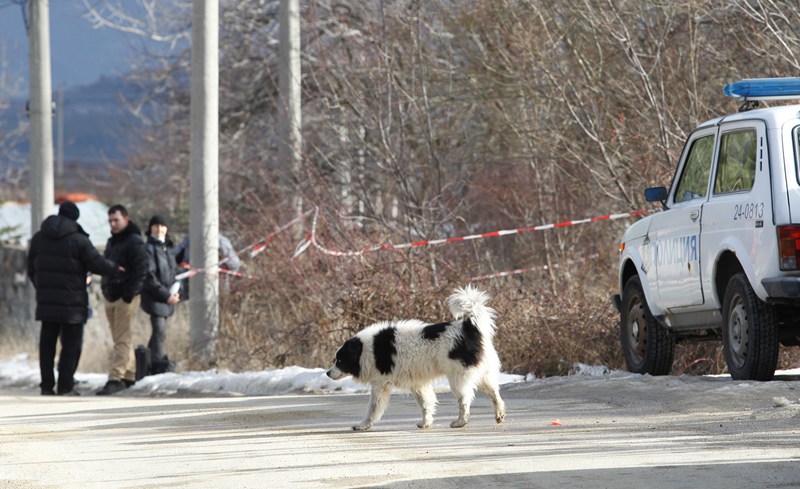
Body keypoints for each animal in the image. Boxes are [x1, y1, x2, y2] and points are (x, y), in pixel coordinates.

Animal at [326, 284, 506, 428]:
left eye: (339, 360)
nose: (327, 373)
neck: (365, 349)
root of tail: (468, 327)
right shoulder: (418, 383)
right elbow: (425, 404)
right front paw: (425, 423)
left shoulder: (380, 383)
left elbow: (373, 408)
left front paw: (362, 425)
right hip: (481, 374)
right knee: (494, 393)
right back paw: (499, 415)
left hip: (459, 377)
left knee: (465, 399)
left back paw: (460, 422)